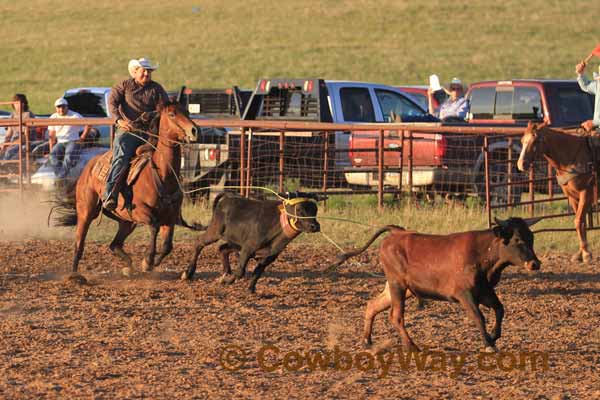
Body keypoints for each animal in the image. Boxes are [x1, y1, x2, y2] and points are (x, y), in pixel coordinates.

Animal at [54, 101, 198, 274]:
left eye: (187, 111)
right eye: (172, 114)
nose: (194, 130)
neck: (162, 175)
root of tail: (89, 166)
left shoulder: (170, 217)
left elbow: (167, 246)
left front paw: (152, 262)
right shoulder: (141, 211)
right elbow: (154, 226)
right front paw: (147, 261)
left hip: (126, 221)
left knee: (114, 244)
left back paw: (128, 266)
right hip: (86, 211)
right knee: (79, 244)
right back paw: (74, 274)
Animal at [516, 122, 596, 264]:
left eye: (535, 140)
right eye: (522, 140)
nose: (521, 164)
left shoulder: (586, 193)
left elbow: (578, 220)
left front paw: (586, 254)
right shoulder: (572, 196)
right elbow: (581, 223)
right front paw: (580, 254)